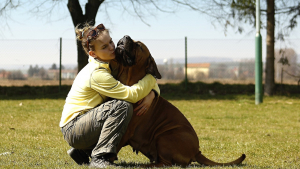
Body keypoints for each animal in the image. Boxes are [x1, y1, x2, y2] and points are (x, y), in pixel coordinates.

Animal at [110, 35, 246, 166]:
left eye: (139, 45)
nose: (125, 36)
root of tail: (197, 152)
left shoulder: (126, 130)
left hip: (164, 137)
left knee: (166, 163)